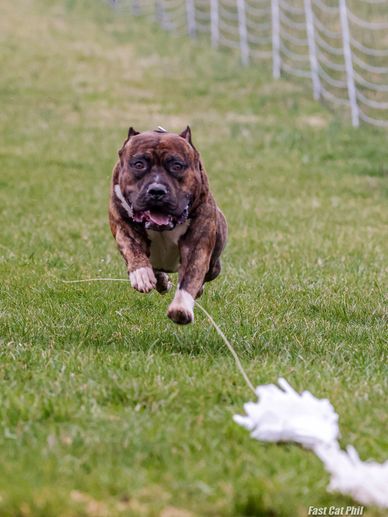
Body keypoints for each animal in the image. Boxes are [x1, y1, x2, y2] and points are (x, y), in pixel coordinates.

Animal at [109, 126, 226, 322]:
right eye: (139, 164)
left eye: (176, 166)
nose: (157, 190)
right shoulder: (122, 225)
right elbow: (132, 249)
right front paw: (141, 274)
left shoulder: (197, 244)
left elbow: (190, 276)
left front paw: (181, 307)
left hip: (214, 264)